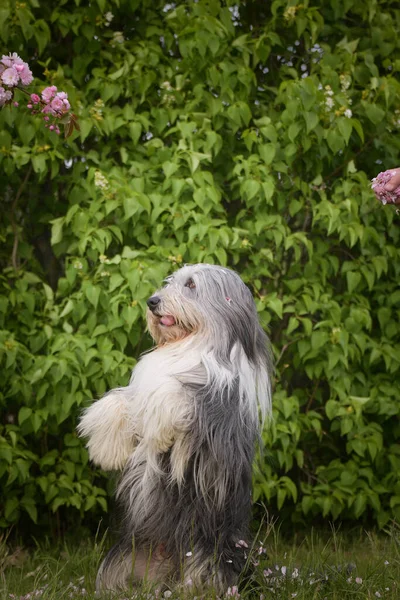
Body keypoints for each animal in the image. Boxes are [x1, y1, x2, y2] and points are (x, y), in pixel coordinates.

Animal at [77, 264, 272, 596]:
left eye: (191, 285)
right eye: (170, 282)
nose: (153, 301)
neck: (189, 345)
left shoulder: (213, 424)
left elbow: (173, 395)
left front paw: (159, 424)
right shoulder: (142, 387)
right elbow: (126, 398)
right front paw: (105, 448)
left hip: (206, 553)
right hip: (125, 559)